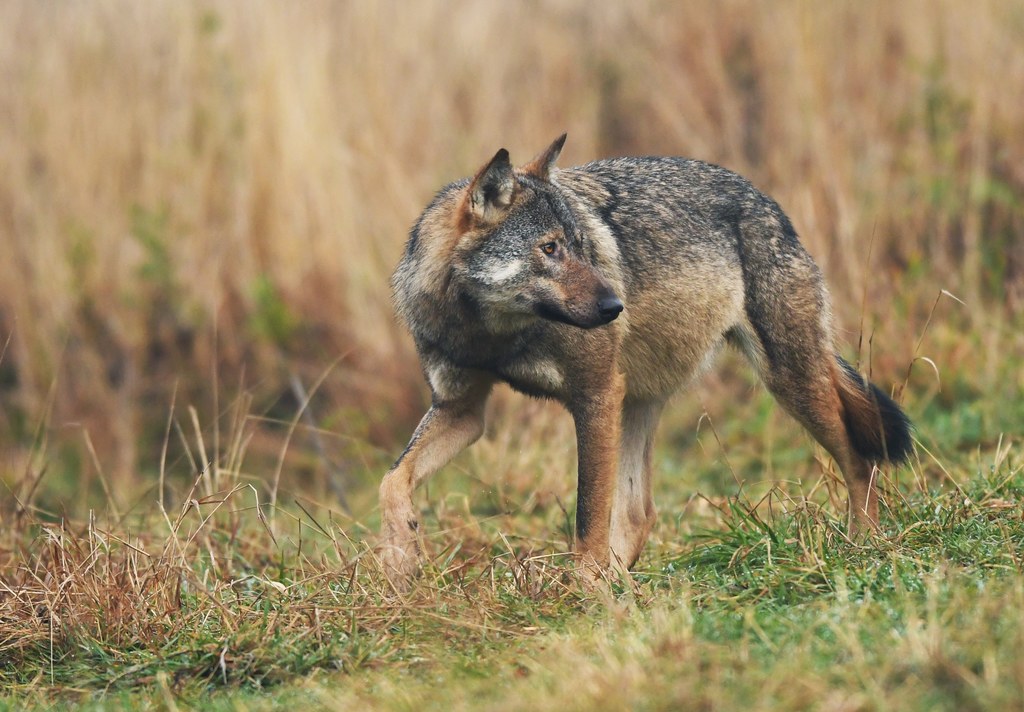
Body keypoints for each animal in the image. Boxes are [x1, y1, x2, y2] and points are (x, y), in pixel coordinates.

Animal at [382, 133, 913, 585]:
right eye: (549, 249)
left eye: (582, 247)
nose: (615, 306)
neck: (489, 335)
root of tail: (764, 200)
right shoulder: (463, 410)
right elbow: (393, 480)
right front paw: (399, 563)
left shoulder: (594, 395)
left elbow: (588, 517)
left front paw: (584, 592)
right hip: (640, 401)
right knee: (640, 513)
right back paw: (621, 585)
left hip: (788, 380)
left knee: (860, 459)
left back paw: (864, 545)